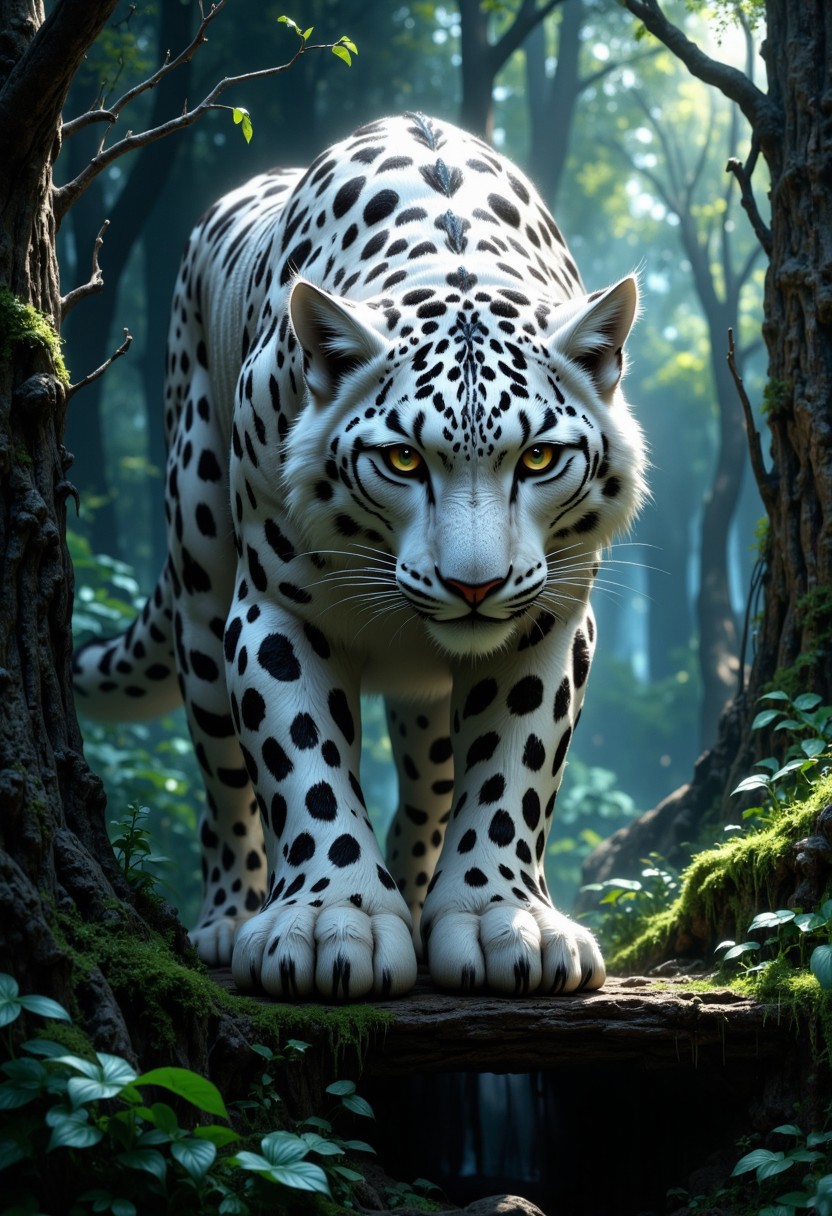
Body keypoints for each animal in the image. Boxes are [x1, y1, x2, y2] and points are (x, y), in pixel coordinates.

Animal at [73, 113, 647, 1002]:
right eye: (403, 460)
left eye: (540, 459)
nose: (474, 585)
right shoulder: (275, 608)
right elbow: (302, 761)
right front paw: (327, 926)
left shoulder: (550, 619)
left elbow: (511, 770)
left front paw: (503, 922)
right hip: (199, 581)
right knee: (223, 785)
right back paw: (229, 920)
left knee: (432, 780)